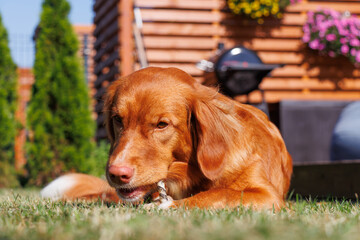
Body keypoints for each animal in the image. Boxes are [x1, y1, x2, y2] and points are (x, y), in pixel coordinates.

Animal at [41, 67, 292, 210]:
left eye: (161, 124)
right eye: (118, 119)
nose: (116, 174)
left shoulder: (267, 195)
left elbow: (220, 193)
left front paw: (165, 207)